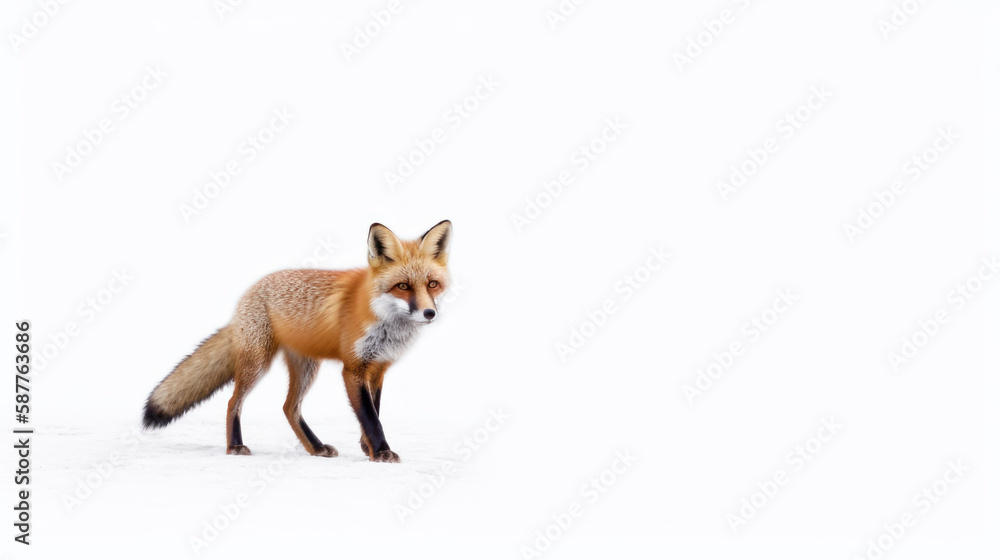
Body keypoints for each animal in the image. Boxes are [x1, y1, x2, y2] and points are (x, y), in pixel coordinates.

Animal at [141, 220, 452, 462]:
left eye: (432, 284)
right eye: (403, 286)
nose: (430, 313)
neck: (385, 320)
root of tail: (248, 294)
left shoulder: (377, 368)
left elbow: (373, 411)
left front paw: (368, 449)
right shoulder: (353, 368)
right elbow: (370, 417)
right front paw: (381, 452)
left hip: (306, 367)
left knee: (289, 408)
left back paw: (315, 447)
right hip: (258, 364)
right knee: (233, 402)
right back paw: (235, 447)